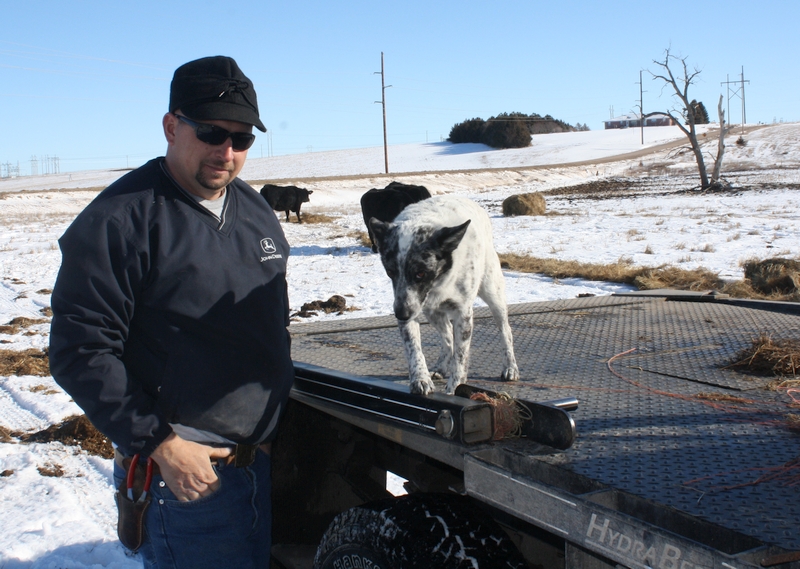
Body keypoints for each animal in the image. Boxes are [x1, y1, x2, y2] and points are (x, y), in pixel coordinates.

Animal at [368, 193, 520, 392]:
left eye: (421, 273)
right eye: (390, 271)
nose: (401, 314)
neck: (438, 283)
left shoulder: (463, 314)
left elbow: (461, 358)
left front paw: (454, 388)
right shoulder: (410, 305)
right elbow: (414, 350)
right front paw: (420, 378)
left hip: (494, 295)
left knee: (505, 331)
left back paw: (510, 367)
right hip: (431, 312)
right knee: (447, 336)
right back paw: (440, 367)